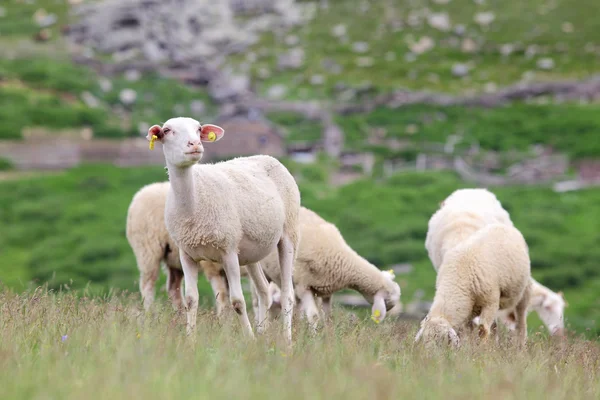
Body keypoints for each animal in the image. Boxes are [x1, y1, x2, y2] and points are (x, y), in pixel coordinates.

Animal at [146, 116, 300, 340]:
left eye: (198, 129)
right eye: (167, 130)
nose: (195, 144)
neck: (193, 202)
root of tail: (267, 157)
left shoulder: (228, 251)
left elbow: (237, 301)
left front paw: (249, 339)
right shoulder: (187, 254)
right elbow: (190, 299)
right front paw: (190, 340)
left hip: (289, 233)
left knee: (288, 295)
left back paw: (286, 341)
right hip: (250, 251)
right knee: (263, 290)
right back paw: (262, 333)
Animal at [256, 206, 398, 328]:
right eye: (386, 300)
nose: (391, 311)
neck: (341, 258)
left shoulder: (326, 291)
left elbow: (328, 317)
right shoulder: (304, 286)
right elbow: (314, 316)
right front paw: (314, 339)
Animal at [414, 189, 532, 346]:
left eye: (442, 342)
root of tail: (471, 190)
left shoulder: (490, 301)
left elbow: (483, 330)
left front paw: (483, 348)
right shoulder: (468, 308)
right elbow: (468, 330)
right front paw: (469, 346)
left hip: (523, 288)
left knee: (521, 316)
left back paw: (520, 343)